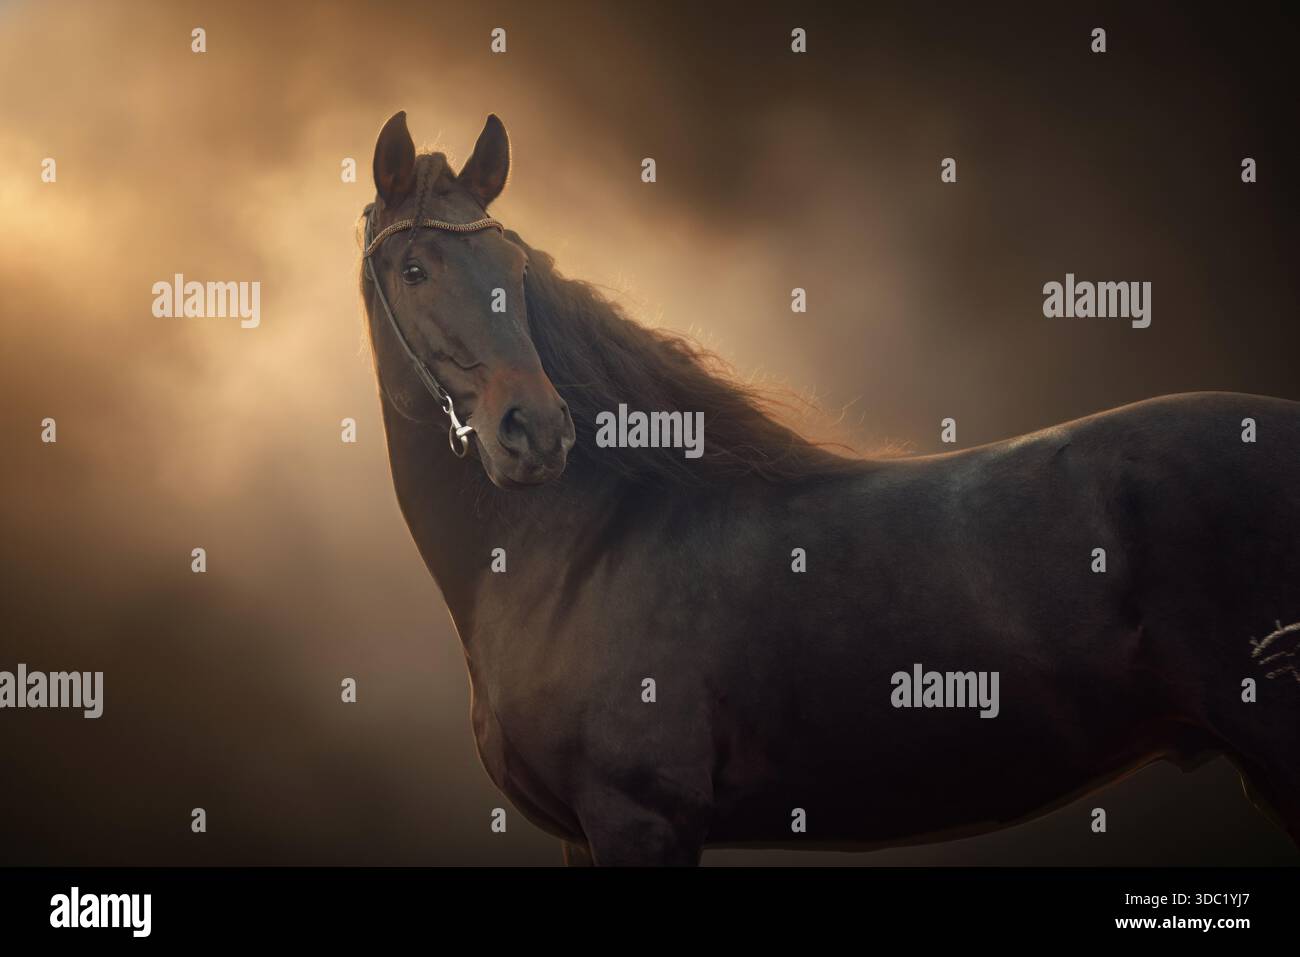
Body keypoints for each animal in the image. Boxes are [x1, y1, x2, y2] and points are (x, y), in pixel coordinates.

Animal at [358, 111, 1300, 865]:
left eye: (514, 269)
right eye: (414, 270)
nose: (535, 432)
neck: (587, 547)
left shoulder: (640, 822)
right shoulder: (582, 834)